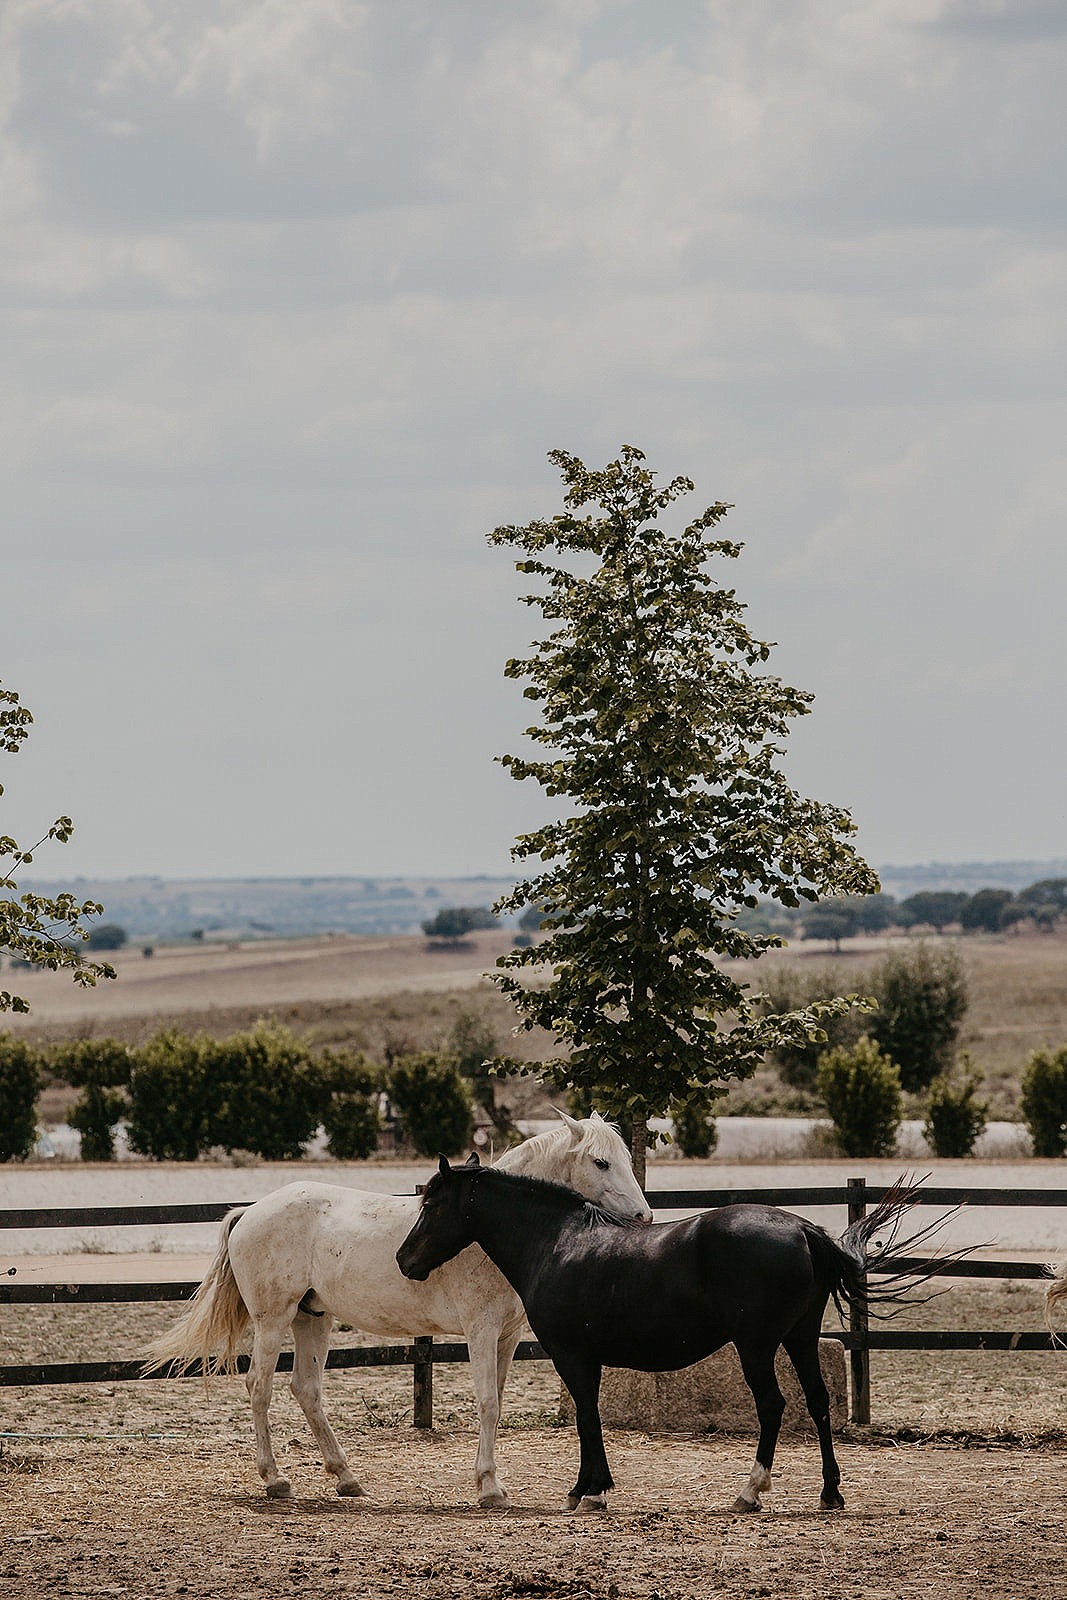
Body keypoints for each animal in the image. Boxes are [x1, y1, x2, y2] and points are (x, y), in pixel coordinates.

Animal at [143, 1112, 650, 1507]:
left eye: (626, 1160)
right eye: (601, 1162)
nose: (643, 1217)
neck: (487, 1232)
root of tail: (249, 1211)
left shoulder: (507, 1336)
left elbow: (499, 1402)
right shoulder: (481, 1332)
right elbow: (487, 1403)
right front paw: (489, 1488)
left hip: (313, 1319)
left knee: (306, 1390)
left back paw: (346, 1478)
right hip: (274, 1321)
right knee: (259, 1388)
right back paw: (275, 1479)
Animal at [397, 1158, 947, 1514]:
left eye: (432, 1204)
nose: (404, 1259)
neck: (557, 1242)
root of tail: (801, 1229)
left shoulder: (572, 1356)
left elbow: (586, 1417)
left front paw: (587, 1490)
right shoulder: (585, 1358)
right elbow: (590, 1416)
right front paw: (593, 1487)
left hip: (757, 1346)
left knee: (773, 1405)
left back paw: (750, 1493)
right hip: (800, 1339)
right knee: (817, 1402)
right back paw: (830, 1492)